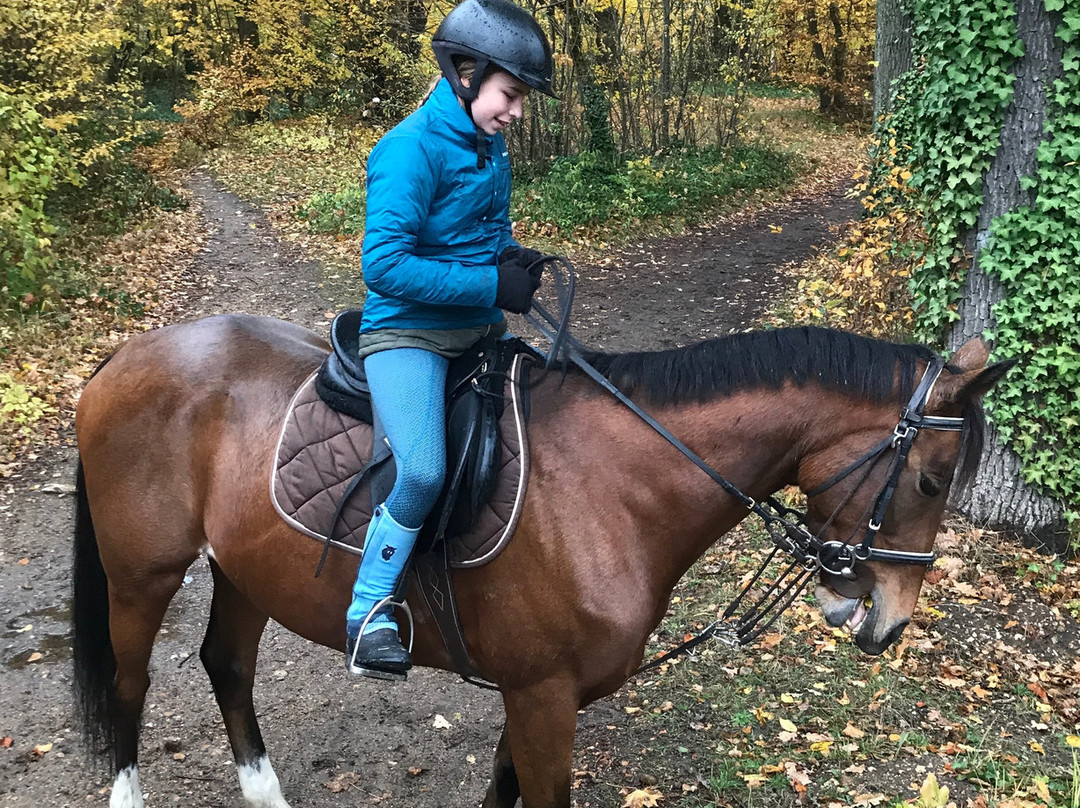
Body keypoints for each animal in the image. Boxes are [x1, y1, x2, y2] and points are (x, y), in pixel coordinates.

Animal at [71, 315, 1006, 808]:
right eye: (930, 480)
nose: (888, 621)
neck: (617, 486)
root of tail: (127, 354)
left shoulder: (536, 693)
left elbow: (501, 788)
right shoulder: (544, 697)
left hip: (242, 569)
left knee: (227, 665)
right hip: (142, 574)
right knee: (130, 684)